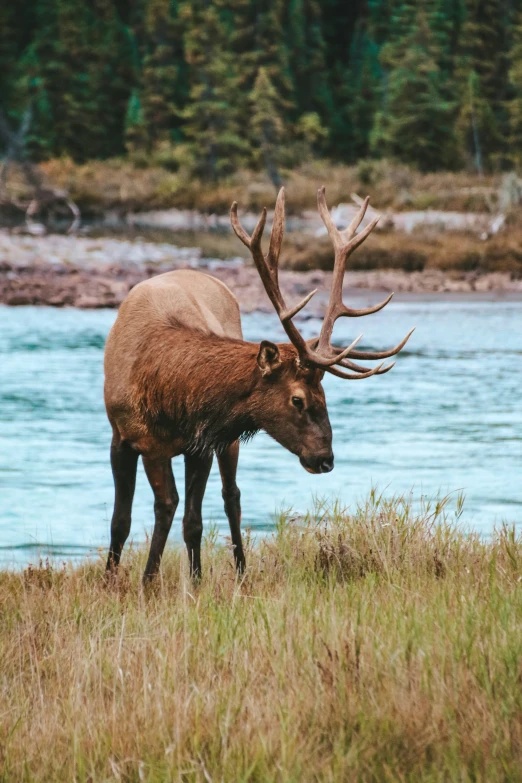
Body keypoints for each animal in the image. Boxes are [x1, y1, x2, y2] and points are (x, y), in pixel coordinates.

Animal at [103, 188, 412, 580]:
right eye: (298, 399)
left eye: (324, 394)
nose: (325, 459)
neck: (169, 397)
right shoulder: (125, 436)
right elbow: (125, 519)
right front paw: (120, 581)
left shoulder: (201, 444)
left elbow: (190, 518)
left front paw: (183, 581)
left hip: (228, 439)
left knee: (231, 497)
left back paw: (241, 571)